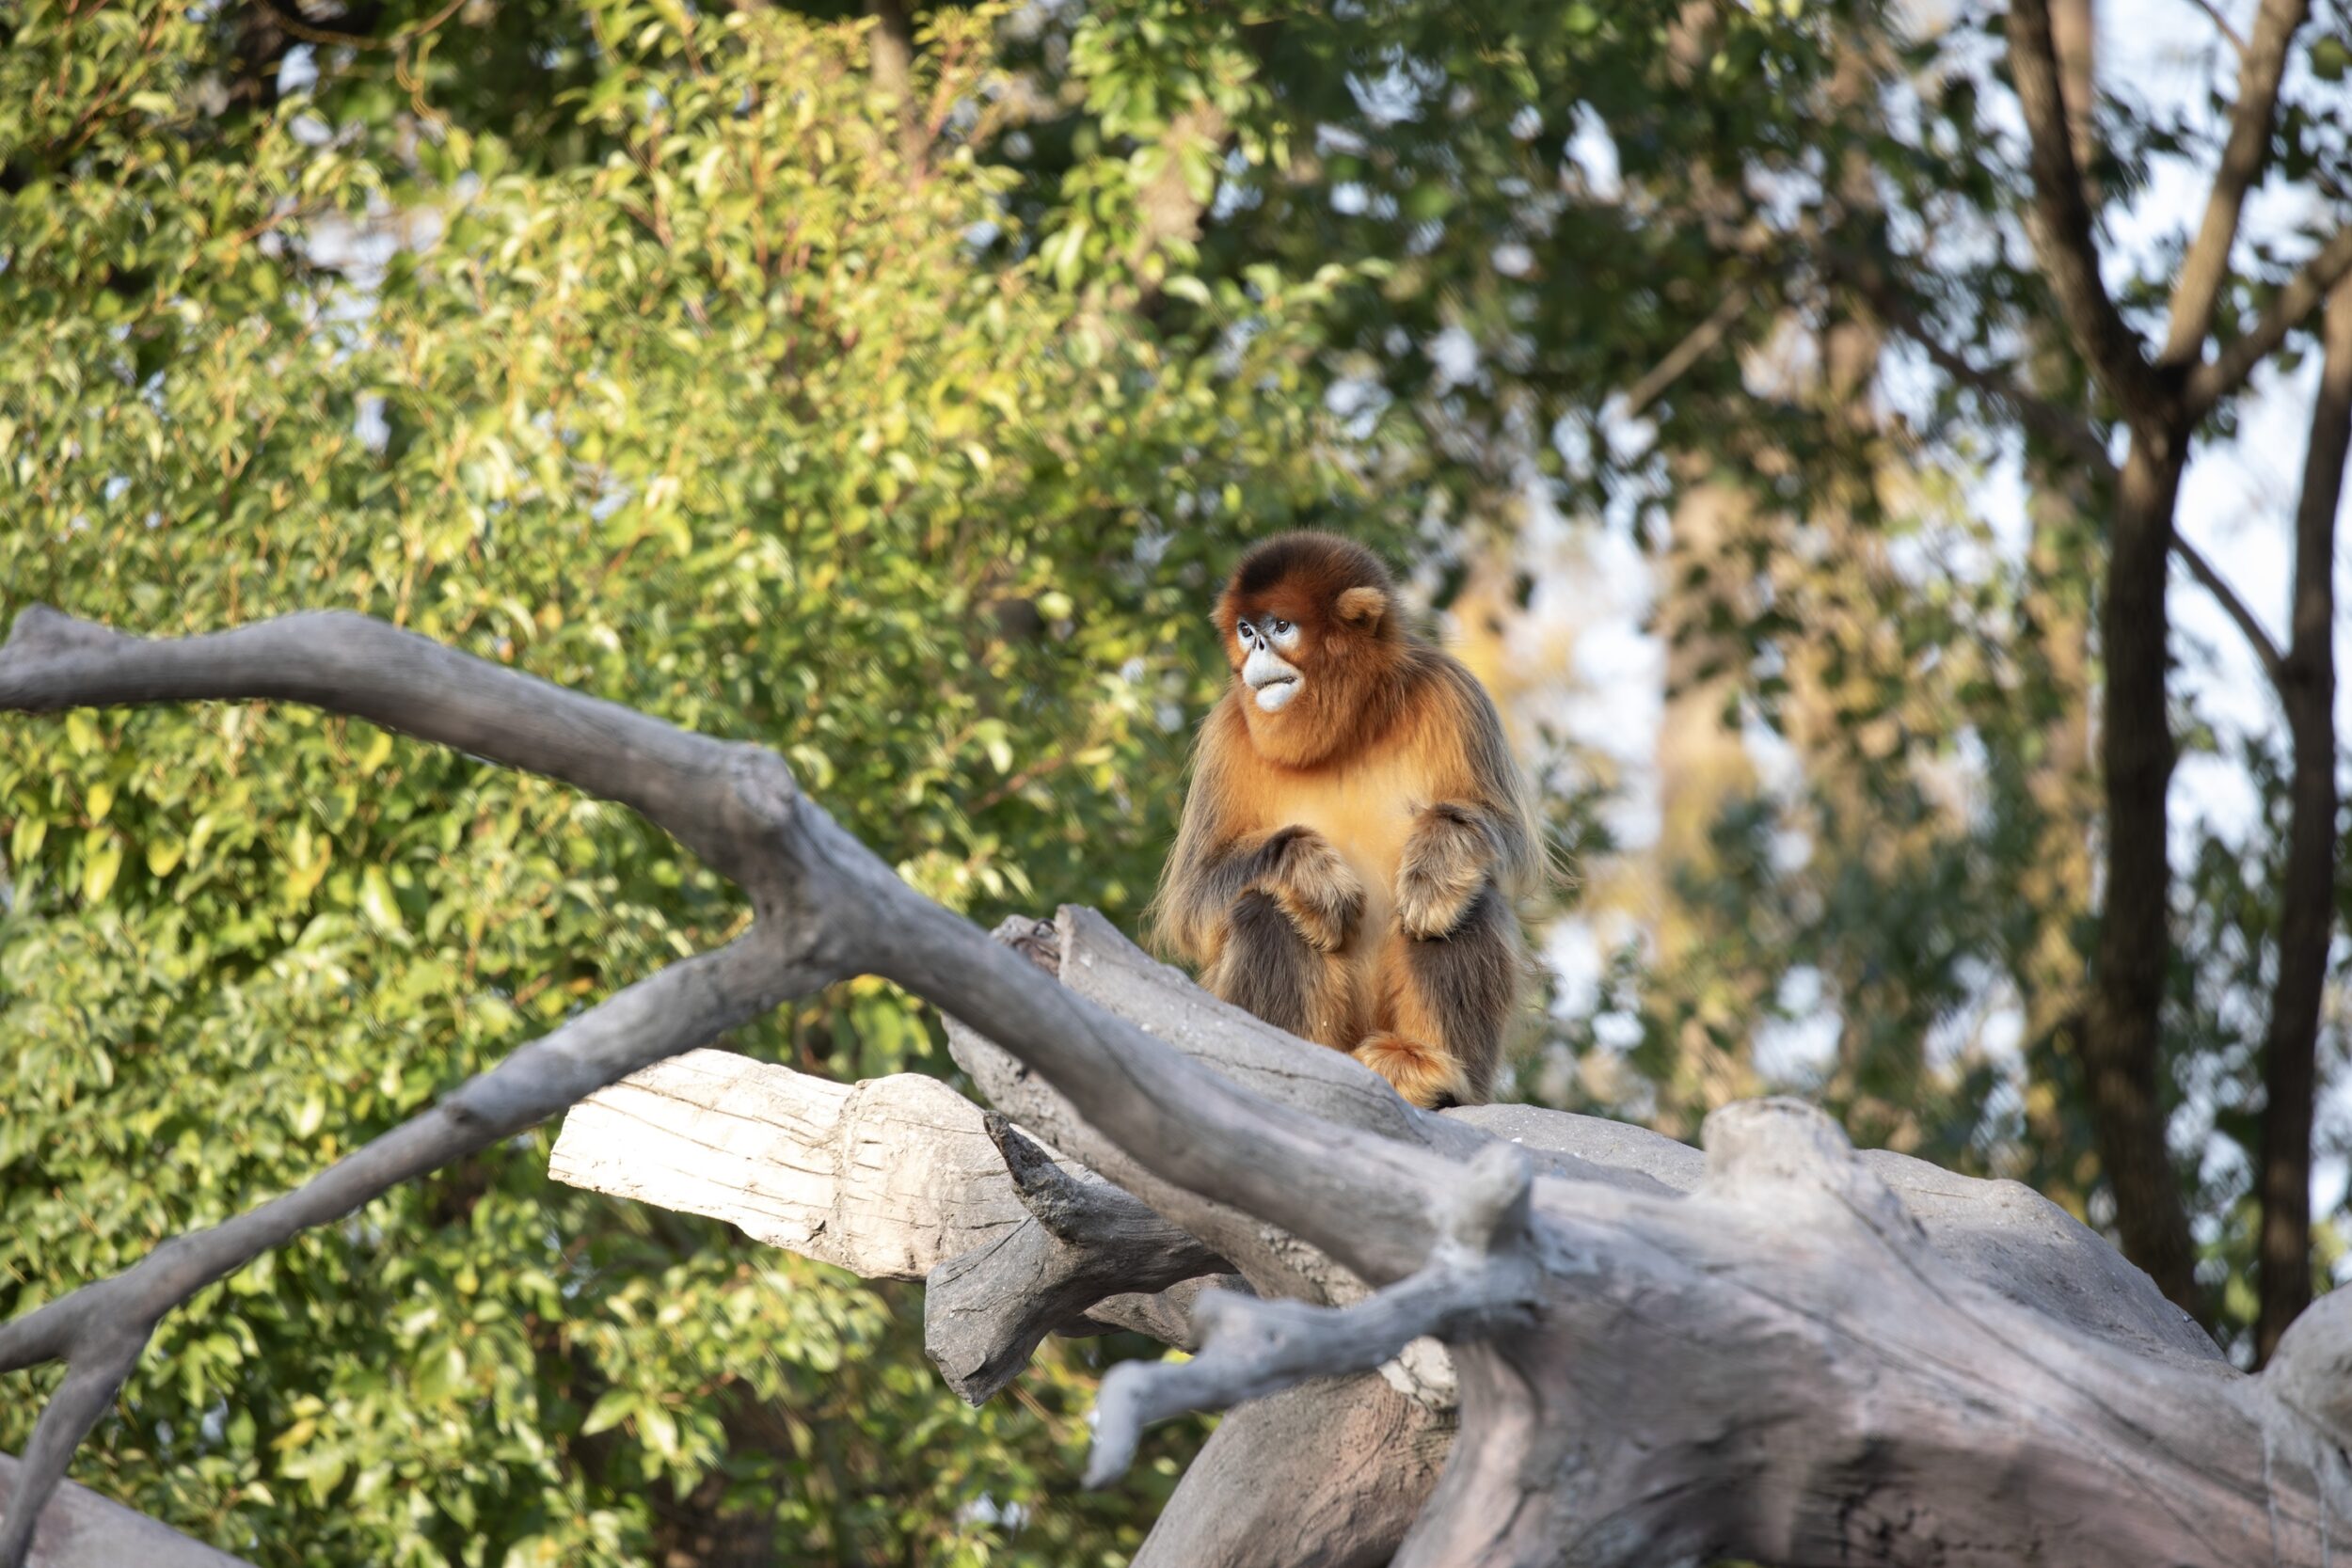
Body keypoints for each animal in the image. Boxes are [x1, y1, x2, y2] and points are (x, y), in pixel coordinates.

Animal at [1143, 533, 1543, 1109]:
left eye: (1280, 627)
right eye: (1246, 630)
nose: (1256, 648)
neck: (1346, 732)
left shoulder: (1453, 691)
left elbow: (1506, 843)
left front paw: (1436, 860)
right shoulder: (1226, 731)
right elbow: (1192, 903)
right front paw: (1307, 870)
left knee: (1466, 899)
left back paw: (1425, 1069)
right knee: (1266, 905)